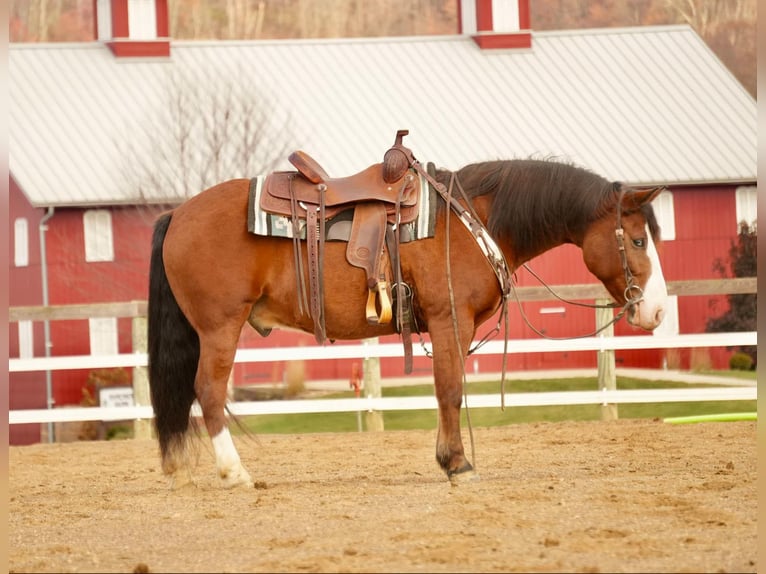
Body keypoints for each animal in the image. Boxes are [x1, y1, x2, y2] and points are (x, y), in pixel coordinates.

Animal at [147, 147, 668, 490]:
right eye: (638, 240)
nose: (658, 309)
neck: (472, 221)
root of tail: (177, 214)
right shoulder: (449, 319)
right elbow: (450, 389)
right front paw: (458, 464)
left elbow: (446, 390)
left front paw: (447, 458)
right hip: (220, 328)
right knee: (209, 392)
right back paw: (235, 472)